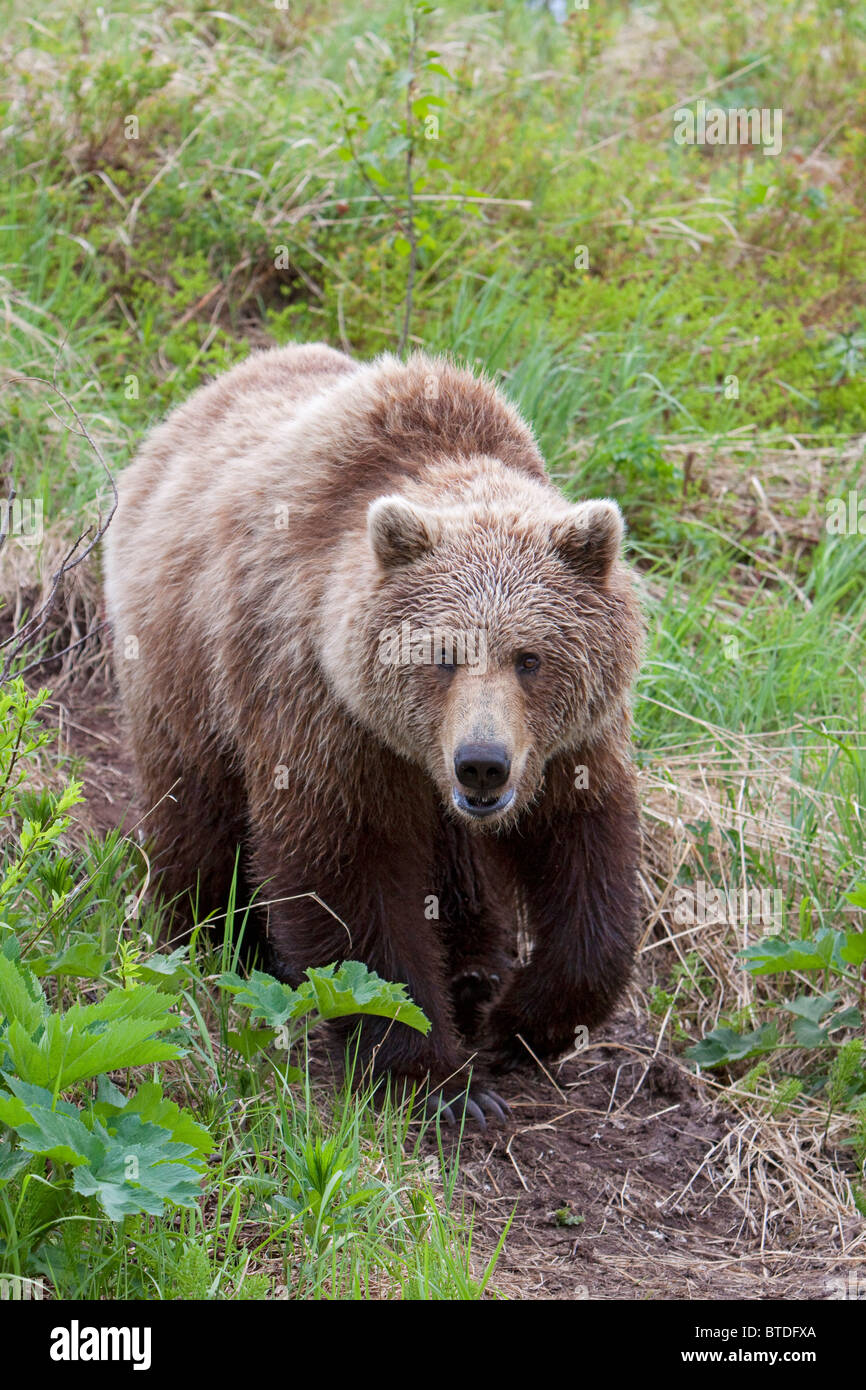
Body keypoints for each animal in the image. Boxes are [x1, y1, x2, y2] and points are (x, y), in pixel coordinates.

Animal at [101, 344, 644, 1117]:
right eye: (441, 654)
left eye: (530, 657)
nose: (483, 763)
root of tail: (187, 411)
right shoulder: (319, 706)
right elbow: (348, 875)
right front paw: (442, 1081)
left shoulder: (569, 744)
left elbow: (585, 854)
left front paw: (516, 1024)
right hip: (184, 674)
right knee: (195, 811)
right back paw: (215, 937)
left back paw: (473, 971)